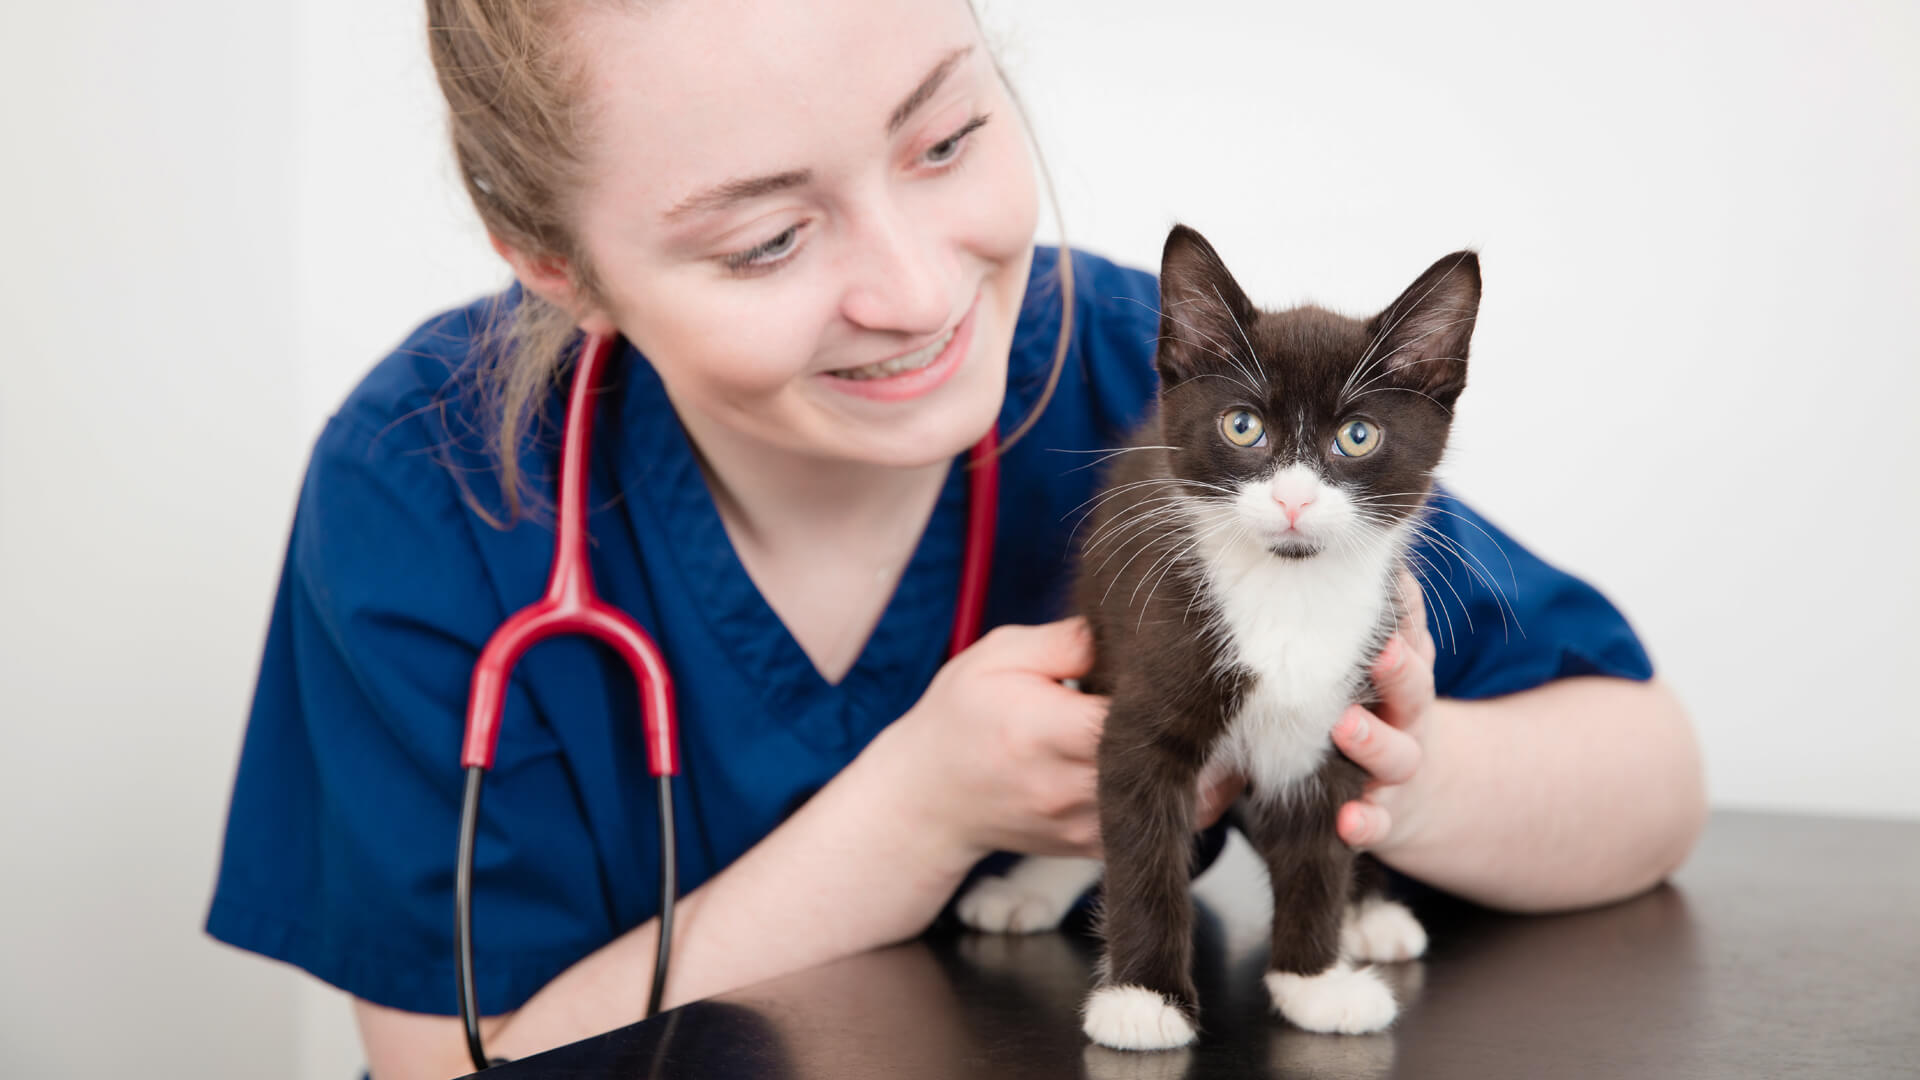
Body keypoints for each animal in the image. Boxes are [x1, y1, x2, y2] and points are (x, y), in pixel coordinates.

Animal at [960, 222, 1482, 1045]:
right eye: (1244, 426)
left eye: (1358, 436)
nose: (1294, 499)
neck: (1288, 592)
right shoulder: (1154, 670)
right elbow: (1139, 839)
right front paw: (1143, 999)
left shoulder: (1338, 710)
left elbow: (1319, 847)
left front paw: (1313, 980)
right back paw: (1031, 888)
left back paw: (1370, 913)